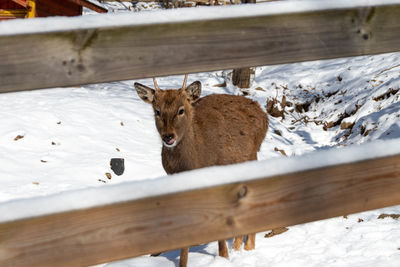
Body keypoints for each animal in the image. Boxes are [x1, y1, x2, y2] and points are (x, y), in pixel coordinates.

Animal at [134, 75, 268, 267]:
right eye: (157, 111)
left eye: (181, 110)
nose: (168, 137)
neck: (193, 163)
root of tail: (263, 113)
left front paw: (223, 256)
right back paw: (237, 246)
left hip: (251, 159)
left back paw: (247, 247)